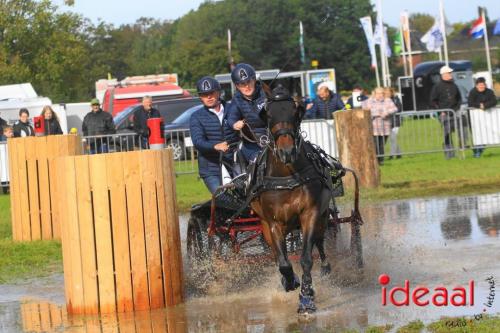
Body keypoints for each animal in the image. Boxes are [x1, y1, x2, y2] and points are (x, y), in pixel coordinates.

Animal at [250, 86, 336, 314]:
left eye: (295, 113)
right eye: (268, 115)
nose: (286, 151)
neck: (287, 175)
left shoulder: (310, 214)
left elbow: (306, 258)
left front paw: (306, 298)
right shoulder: (273, 223)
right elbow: (284, 262)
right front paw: (289, 281)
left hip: (322, 217)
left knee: (319, 242)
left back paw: (326, 267)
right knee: (276, 253)